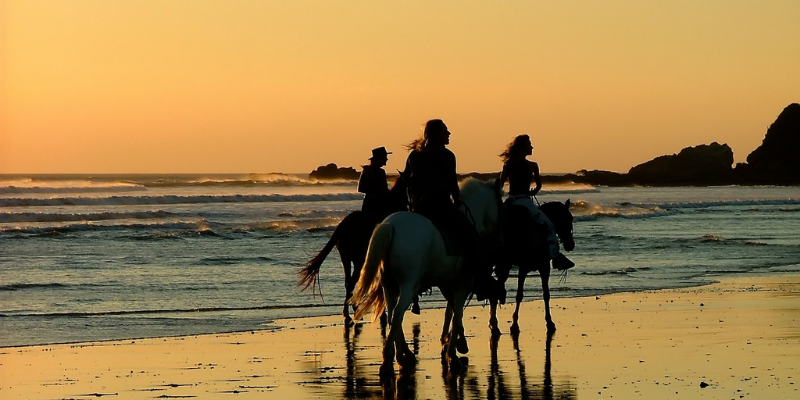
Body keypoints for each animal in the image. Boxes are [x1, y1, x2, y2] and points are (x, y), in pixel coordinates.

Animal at [298, 176, 410, 324]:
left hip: (345, 258)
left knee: (348, 283)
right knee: (352, 282)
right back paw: (352, 311)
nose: (409, 205)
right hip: (358, 260)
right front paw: (382, 314)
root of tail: (345, 223)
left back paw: (349, 311)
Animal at [352, 178, 500, 372]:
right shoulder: (462, 285)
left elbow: (450, 312)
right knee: (398, 313)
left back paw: (401, 354)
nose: (498, 236)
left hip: (388, 285)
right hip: (407, 285)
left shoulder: (448, 285)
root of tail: (391, 226)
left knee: (392, 315)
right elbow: (457, 314)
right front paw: (454, 353)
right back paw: (390, 359)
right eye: (501, 204)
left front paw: (454, 344)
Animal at [488, 199, 576, 334]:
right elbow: (519, 295)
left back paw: (494, 325)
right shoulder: (524, 268)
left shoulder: (544, 267)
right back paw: (494, 324)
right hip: (505, 266)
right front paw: (514, 324)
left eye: (571, 218)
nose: (570, 244)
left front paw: (550, 322)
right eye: (564, 218)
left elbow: (546, 294)